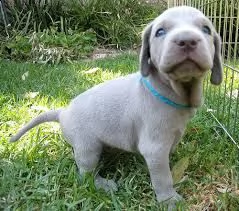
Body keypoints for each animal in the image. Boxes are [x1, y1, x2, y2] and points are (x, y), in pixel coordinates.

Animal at [9, 5, 222, 209]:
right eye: (160, 32)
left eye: (206, 29)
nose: (187, 40)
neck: (171, 91)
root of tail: (62, 112)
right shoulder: (155, 148)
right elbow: (163, 177)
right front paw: (169, 200)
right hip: (87, 147)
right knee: (85, 174)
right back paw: (102, 184)